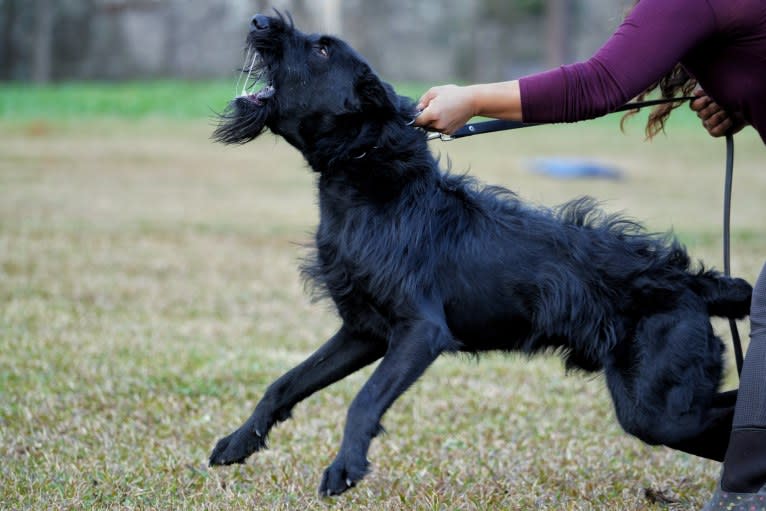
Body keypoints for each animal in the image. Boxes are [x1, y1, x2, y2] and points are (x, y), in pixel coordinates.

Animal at [207, 15, 752, 496]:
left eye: (322, 49)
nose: (259, 21)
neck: (370, 180)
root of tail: (689, 282)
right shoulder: (363, 331)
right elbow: (285, 384)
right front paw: (239, 441)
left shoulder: (420, 331)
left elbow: (363, 401)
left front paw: (346, 466)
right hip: (654, 404)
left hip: (660, 408)